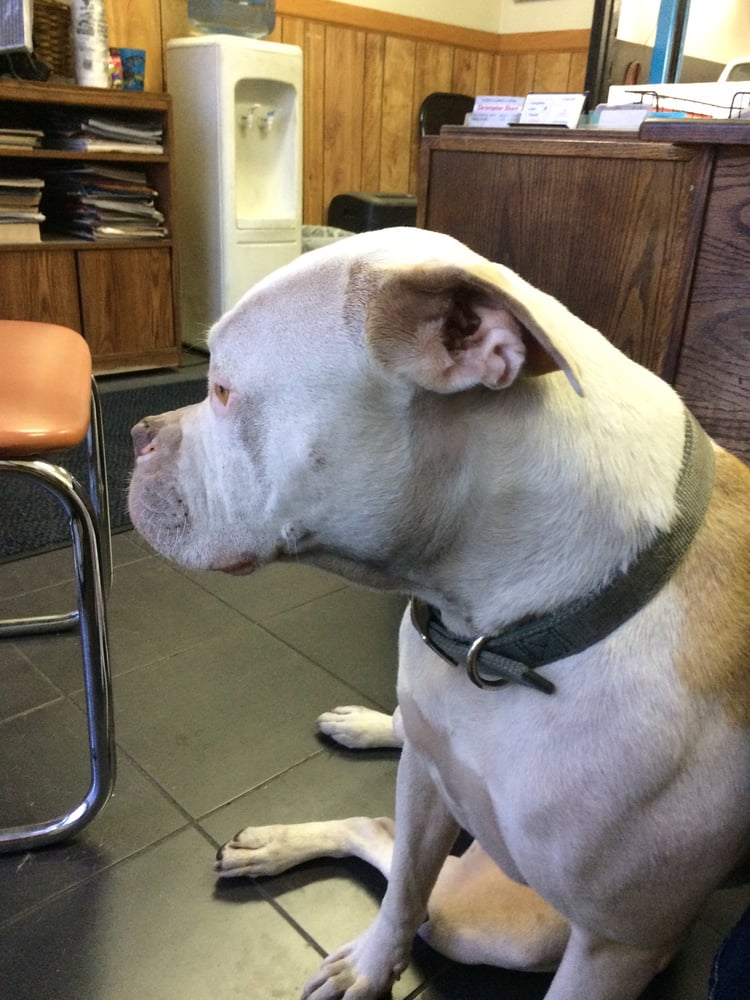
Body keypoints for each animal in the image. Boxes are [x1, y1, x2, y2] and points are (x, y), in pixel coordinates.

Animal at [128, 227, 750, 1000]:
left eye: (220, 390)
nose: (137, 431)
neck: (494, 632)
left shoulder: (615, 947)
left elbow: (408, 885)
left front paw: (367, 966)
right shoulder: (425, 783)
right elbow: (401, 894)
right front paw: (372, 964)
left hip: (512, 920)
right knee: (391, 817)